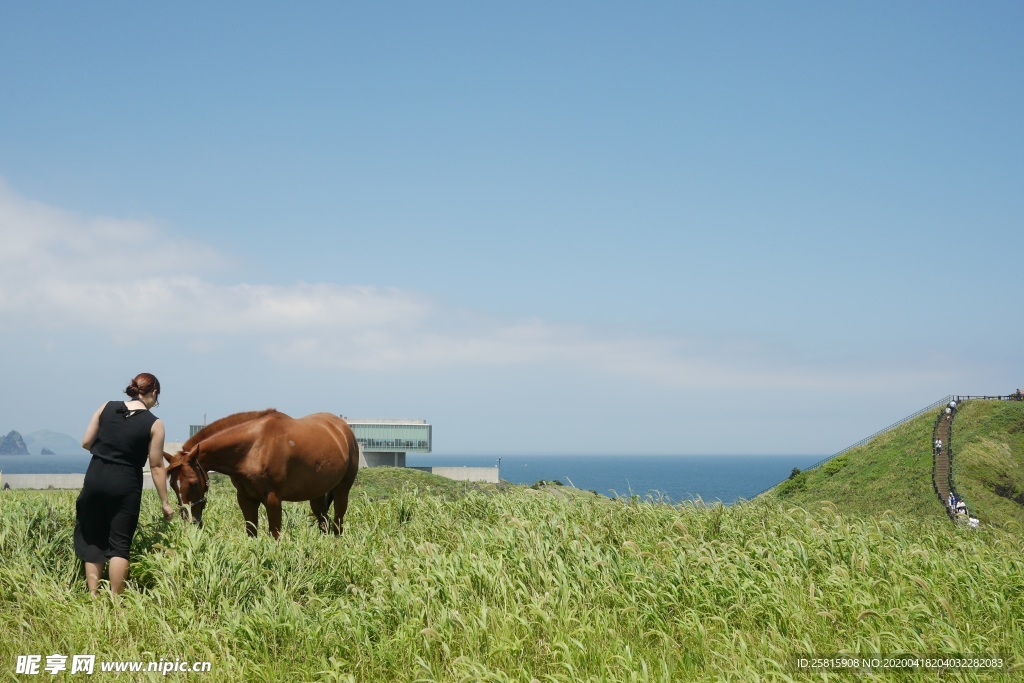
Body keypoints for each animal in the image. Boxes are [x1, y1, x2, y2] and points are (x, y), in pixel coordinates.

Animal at [163, 411, 360, 540]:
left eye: (194, 482)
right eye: (172, 485)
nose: (190, 520)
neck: (253, 447)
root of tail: (343, 429)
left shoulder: (273, 498)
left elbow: (275, 534)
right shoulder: (245, 498)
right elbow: (251, 532)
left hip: (342, 490)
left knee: (338, 521)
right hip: (316, 493)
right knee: (323, 520)